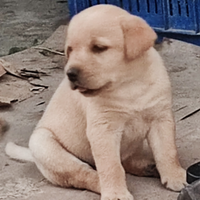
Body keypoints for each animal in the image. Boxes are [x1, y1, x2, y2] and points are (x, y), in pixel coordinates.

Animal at [5, 4, 186, 200]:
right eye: (70, 50)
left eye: (98, 48)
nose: (71, 74)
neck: (129, 85)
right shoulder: (103, 129)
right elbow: (111, 167)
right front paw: (115, 193)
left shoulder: (161, 118)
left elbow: (167, 152)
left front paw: (176, 177)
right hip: (45, 146)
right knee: (84, 174)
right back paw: (105, 184)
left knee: (126, 160)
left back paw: (147, 166)